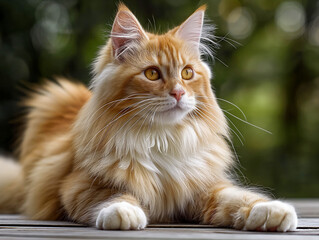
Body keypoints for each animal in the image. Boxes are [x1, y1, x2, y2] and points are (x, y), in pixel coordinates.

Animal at [0, 3, 300, 232]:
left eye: (187, 73)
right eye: (152, 74)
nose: (178, 92)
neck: (162, 138)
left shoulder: (205, 186)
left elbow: (238, 196)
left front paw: (270, 210)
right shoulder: (78, 184)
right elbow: (114, 195)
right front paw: (123, 212)